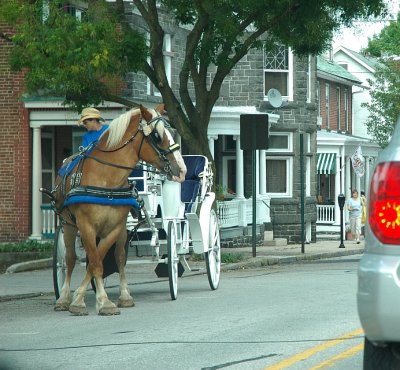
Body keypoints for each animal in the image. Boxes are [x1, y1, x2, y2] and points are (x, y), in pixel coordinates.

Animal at [46, 104, 186, 316]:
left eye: (172, 133)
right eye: (157, 136)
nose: (182, 170)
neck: (106, 180)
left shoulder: (115, 227)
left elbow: (99, 260)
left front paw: (100, 300)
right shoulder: (86, 226)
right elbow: (94, 262)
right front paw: (86, 301)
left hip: (121, 230)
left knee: (119, 257)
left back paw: (124, 296)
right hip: (67, 224)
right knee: (68, 260)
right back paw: (63, 298)